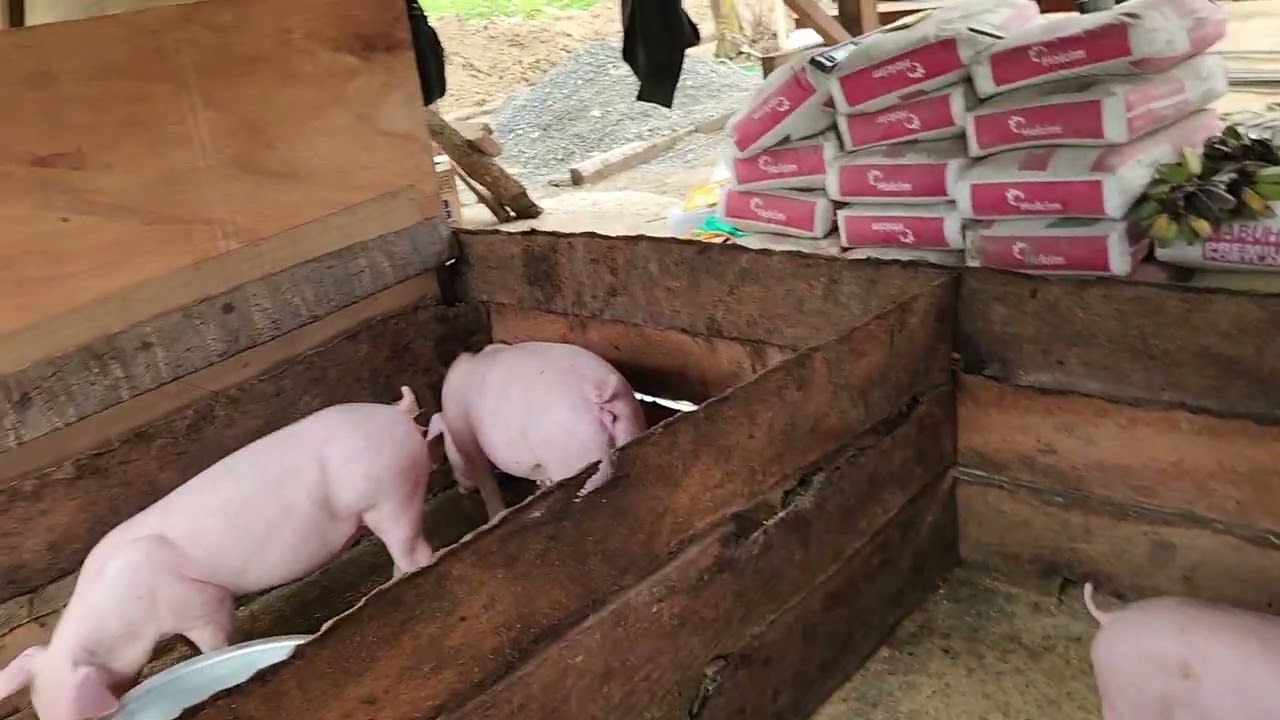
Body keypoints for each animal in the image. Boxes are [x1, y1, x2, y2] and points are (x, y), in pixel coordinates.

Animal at [433, 341, 647, 519]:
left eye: (447, 452)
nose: (461, 488)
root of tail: (596, 390)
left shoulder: (470, 444)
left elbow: (486, 482)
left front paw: (496, 515)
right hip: (630, 423)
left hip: (572, 454)